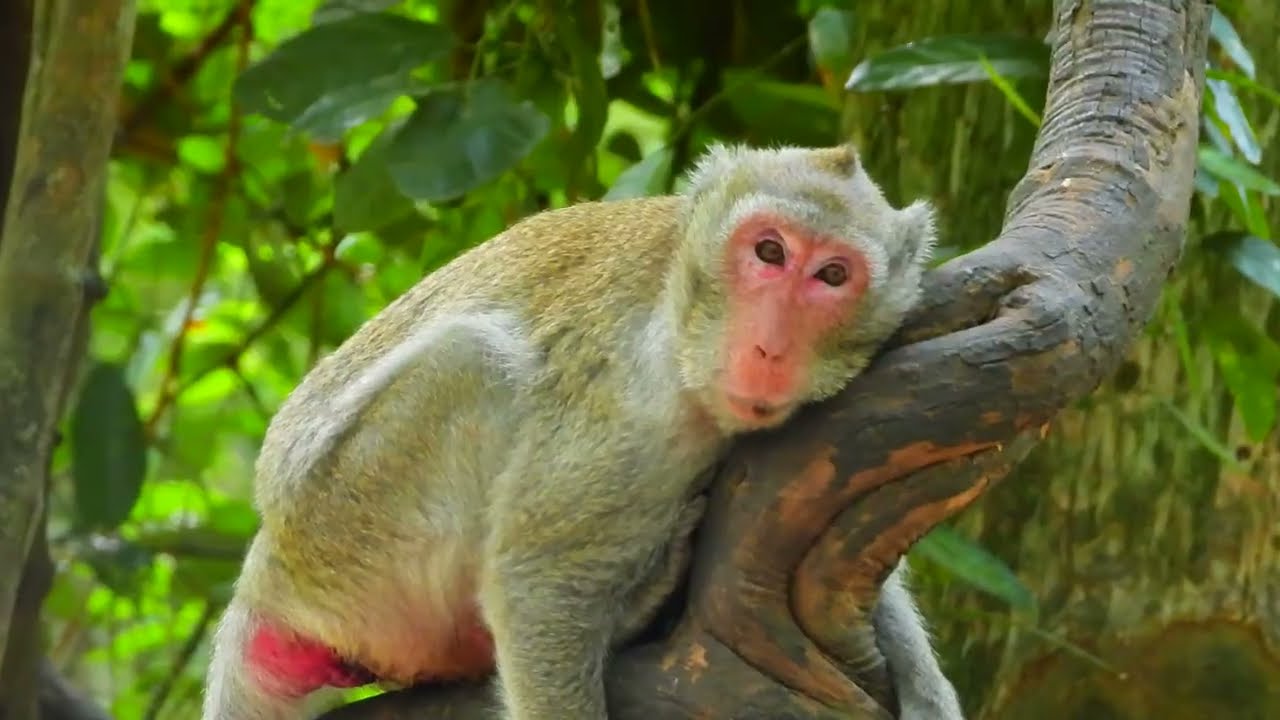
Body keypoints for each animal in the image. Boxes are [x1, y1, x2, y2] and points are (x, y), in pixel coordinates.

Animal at [201, 142, 964, 720]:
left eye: (832, 274)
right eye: (769, 252)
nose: (769, 349)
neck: (681, 324)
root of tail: (265, 575)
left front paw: (928, 691)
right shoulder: (631, 413)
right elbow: (536, 581)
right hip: (349, 535)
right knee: (472, 363)